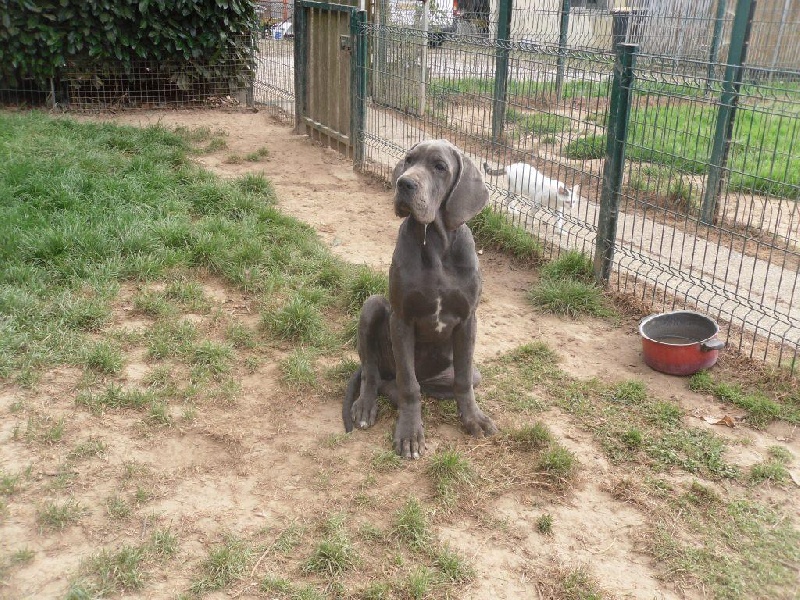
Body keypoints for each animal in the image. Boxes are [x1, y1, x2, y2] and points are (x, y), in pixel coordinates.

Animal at [342, 139, 496, 460]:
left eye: (440, 166)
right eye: (409, 160)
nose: (404, 183)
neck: (435, 243)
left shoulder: (468, 320)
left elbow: (463, 380)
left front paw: (473, 418)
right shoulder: (402, 319)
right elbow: (408, 386)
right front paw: (410, 434)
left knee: (426, 384)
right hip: (372, 306)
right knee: (377, 375)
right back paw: (365, 405)